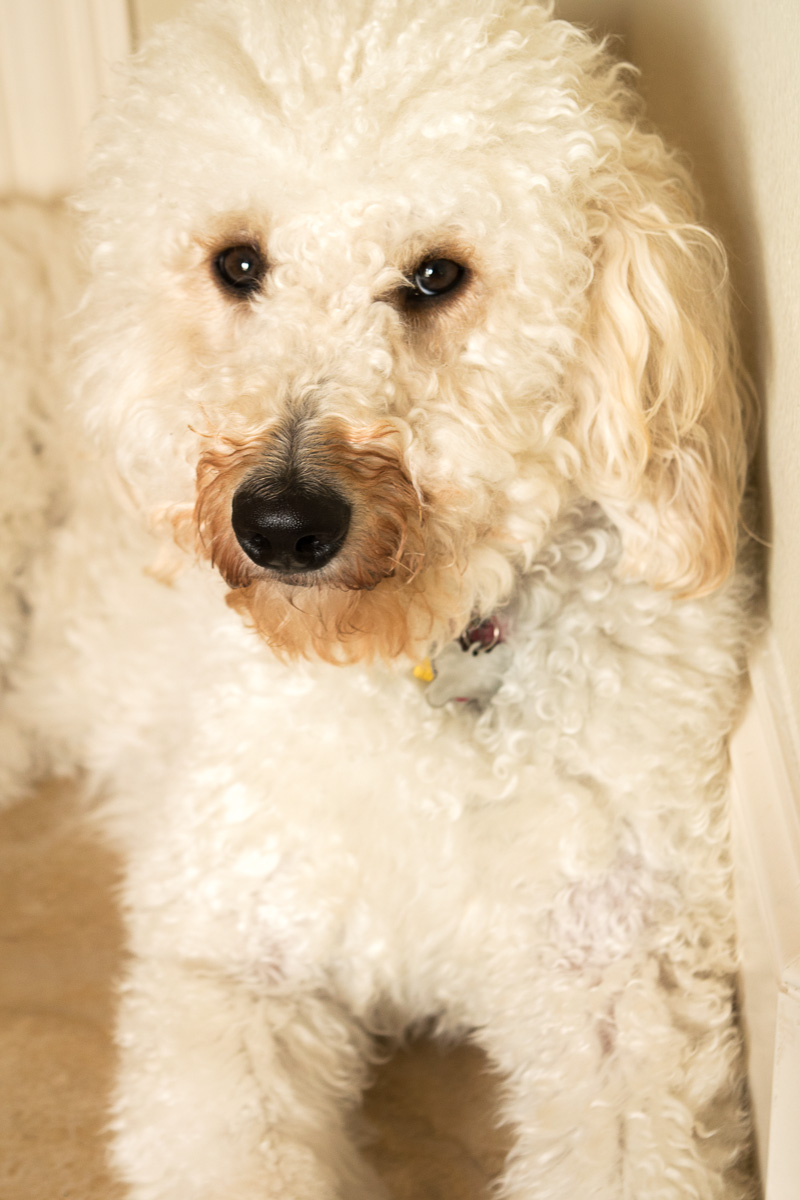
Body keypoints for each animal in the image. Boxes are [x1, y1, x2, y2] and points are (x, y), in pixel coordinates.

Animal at [0, 0, 758, 1195]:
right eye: (238, 263)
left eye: (437, 276)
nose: (280, 523)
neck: (423, 661)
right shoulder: (232, 951)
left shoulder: (617, 978)